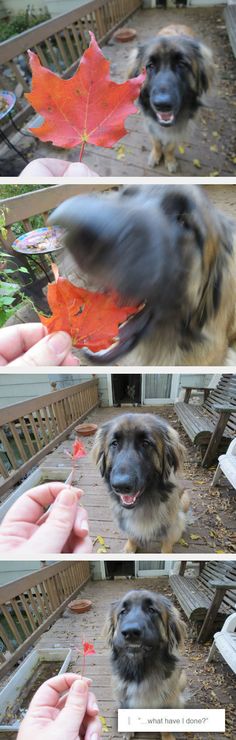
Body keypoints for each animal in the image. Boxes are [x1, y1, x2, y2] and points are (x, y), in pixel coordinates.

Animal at [92, 414, 190, 552]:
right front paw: (129, 548)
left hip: (185, 499)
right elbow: (132, 537)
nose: (121, 486)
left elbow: (167, 543)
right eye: (114, 443)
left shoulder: (171, 525)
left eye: (146, 443)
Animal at [106, 588, 187, 740]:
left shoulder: (168, 700)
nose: (130, 632)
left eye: (151, 610)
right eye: (123, 611)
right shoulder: (124, 697)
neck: (141, 670)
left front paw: (167, 736)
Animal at [128, 22, 215, 173]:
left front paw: (169, 160)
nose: (162, 104)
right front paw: (156, 155)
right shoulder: (151, 124)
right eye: (150, 66)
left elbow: (170, 146)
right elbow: (156, 142)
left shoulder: (179, 127)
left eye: (182, 64)